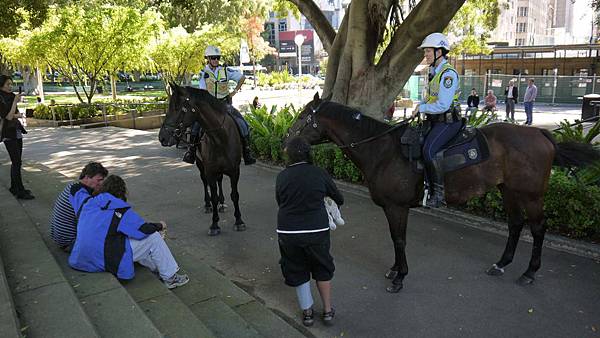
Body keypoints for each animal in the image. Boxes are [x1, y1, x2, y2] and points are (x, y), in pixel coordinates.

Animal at [159, 84, 246, 235]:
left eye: (178, 108)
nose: (162, 137)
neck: (220, 137)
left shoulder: (235, 171)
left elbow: (235, 195)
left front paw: (239, 221)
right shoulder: (210, 171)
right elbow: (213, 195)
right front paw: (215, 224)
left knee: (219, 181)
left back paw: (222, 203)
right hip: (201, 165)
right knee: (205, 183)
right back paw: (207, 205)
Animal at [286, 93, 600, 294]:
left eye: (302, 117)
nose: (286, 140)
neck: (383, 150)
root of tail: (541, 134)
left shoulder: (397, 207)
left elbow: (399, 240)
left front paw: (400, 277)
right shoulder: (392, 208)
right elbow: (394, 239)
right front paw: (395, 270)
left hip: (531, 195)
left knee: (538, 229)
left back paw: (530, 272)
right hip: (508, 190)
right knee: (515, 225)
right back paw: (502, 264)